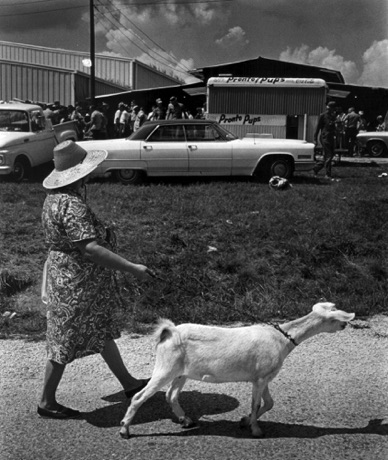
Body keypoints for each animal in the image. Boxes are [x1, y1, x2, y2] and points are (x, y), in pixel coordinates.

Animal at [120, 302, 354, 438]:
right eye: (335, 317)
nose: (345, 325)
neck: (281, 339)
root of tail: (168, 331)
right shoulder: (260, 377)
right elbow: (256, 403)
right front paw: (256, 430)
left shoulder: (263, 376)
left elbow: (269, 403)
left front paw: (245, 421)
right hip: (165, 367)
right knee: (140, 396)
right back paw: (124, 429)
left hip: (181, 373)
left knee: (171, 395)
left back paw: (186, 420)